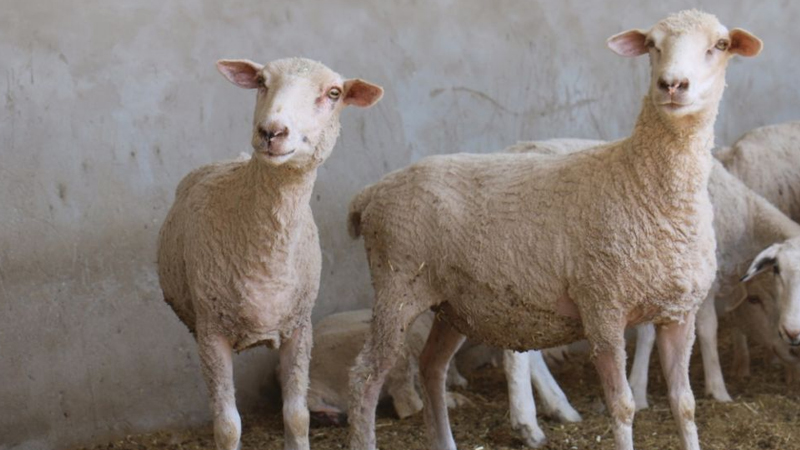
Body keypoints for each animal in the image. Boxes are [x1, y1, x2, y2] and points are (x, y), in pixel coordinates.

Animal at [158, 57, 382, 450]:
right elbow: (227, 426)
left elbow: (296, 416)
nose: (271, 132)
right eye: (261, 81)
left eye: (333, 93)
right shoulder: (212, 332)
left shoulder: (300, 328)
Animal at [346, 10, 760, 450]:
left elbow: (685, 404)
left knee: (431, 367)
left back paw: (444, 440)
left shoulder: (678, 314)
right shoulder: (603, 310)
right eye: (652, 44)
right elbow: (622, 406)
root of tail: (372, 192)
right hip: (397, 289)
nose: (672, 85)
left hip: (452, 304)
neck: (640, 183)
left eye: (719, 45)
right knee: (365, 378)